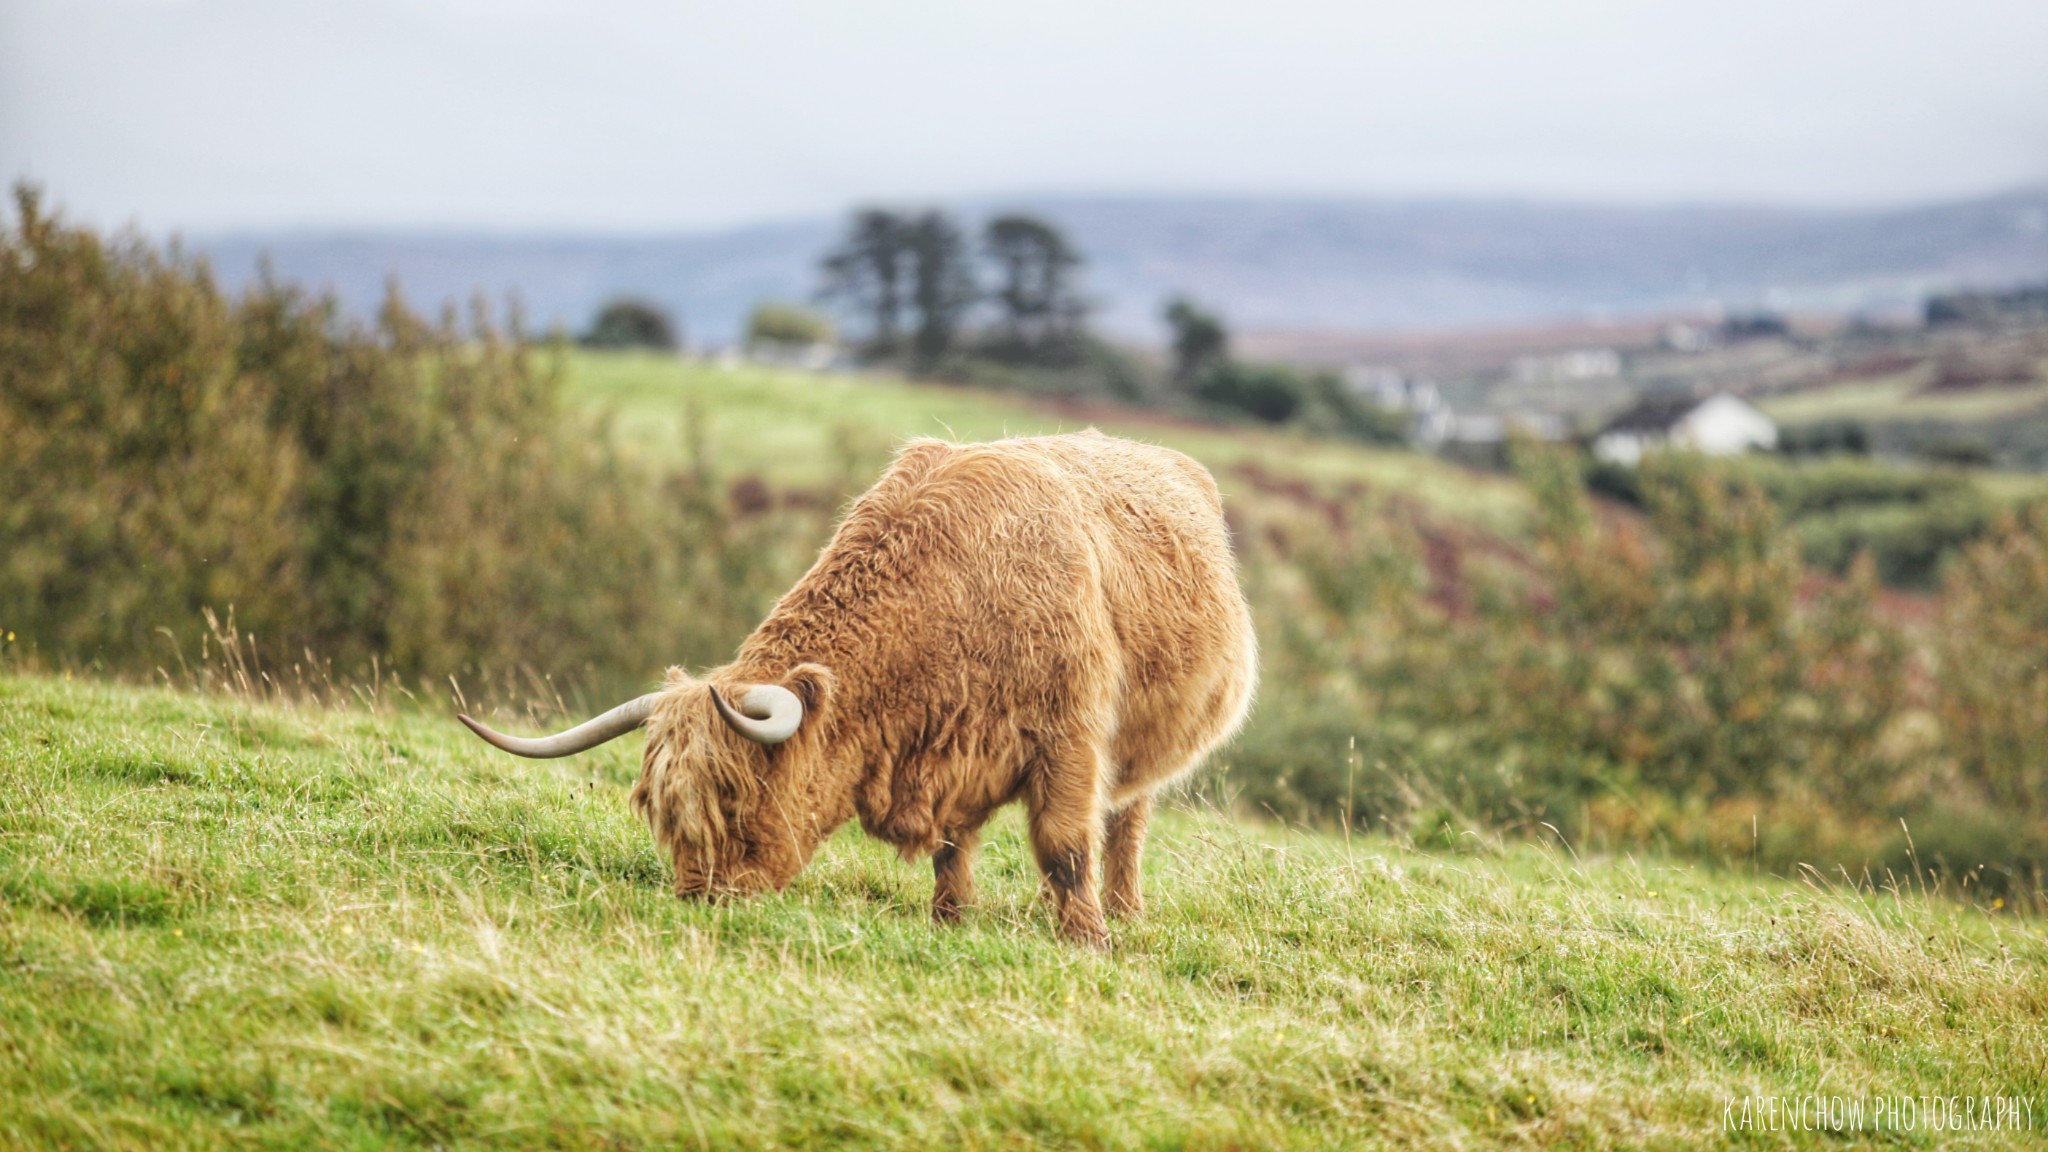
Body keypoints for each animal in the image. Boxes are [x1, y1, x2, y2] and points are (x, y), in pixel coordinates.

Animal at [464, 430, 1253, 942]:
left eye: (735, 797)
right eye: (662, 811)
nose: (701, 899)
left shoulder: (1071, 738)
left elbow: (1063, 843)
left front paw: (1085, 938)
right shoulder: (956, 752)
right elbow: (953, 847)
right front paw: (949, 919)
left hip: (1140, 751)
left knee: (1124, 822)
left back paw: (1120, 911)